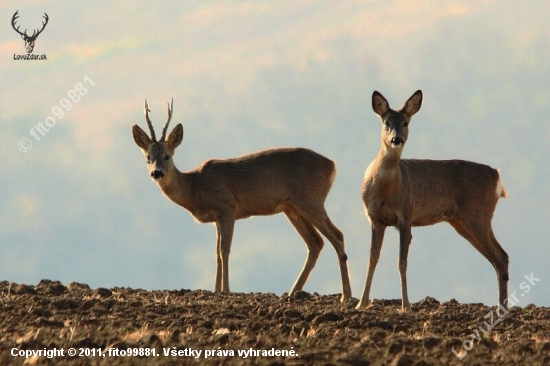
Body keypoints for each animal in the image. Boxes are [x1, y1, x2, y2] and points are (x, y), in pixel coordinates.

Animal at [133, 98, 354, 300]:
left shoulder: (228, 207)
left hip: (311, 200)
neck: (195, 186)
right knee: (315, 242)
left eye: (168, 156)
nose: (157, 173)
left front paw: (226, 290)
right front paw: (216, 290)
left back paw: (345, 296)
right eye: (148, 157)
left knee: (337, 235)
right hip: (292, 207)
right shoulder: (217, 217)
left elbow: (225, 250)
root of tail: (332, 166)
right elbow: (216, 253)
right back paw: (293, 293)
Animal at [360, 91, 512, 312]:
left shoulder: (406, 216)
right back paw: (501, 308)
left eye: (406, 123)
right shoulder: (375, 219)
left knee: (501, 256)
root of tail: (497, 177)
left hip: (478, 215)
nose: (396, 139)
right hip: (461, 222)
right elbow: (372, 258)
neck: (385, 190)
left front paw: (406, 306)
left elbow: (402, 262)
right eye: (386, 122)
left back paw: (503, 310)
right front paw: (361, 304)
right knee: (497, 258)